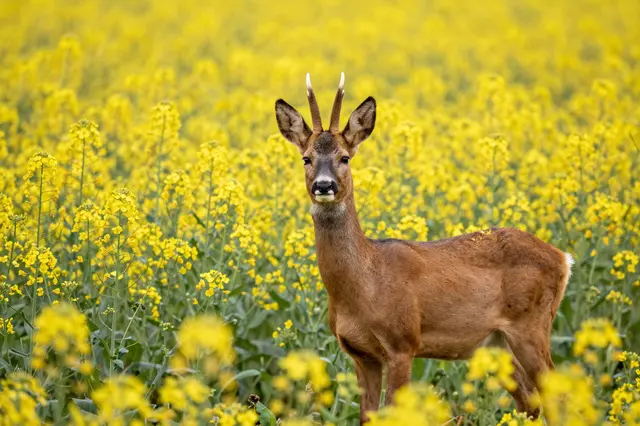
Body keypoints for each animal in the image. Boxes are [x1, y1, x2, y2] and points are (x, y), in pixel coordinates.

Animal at [274, 73, 573, 424]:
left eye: (345, 158)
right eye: (306, 158)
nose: (324, 185)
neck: (365, 284)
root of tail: (563, 258)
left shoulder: (403, 343)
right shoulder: (361, 354)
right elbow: (368, 416)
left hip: (531, 324)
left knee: (559, 396)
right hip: (495, 343)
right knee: (530, 400)